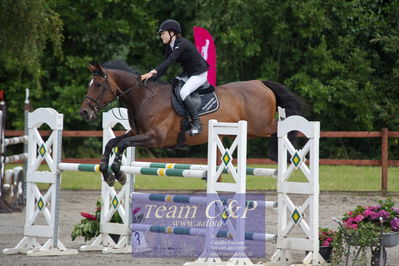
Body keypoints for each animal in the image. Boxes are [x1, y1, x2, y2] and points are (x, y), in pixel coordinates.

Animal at [79, 60, 304, 187]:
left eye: (97, 85)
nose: (84, 112)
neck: (144, 98)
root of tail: (261, 83)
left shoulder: (155, 138)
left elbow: (122, 145)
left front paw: (118, 173)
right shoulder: (136, 132)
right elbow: (112, 143)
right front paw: (107, 173)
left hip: (259, 126)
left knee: (281, 127)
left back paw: (280, 154)